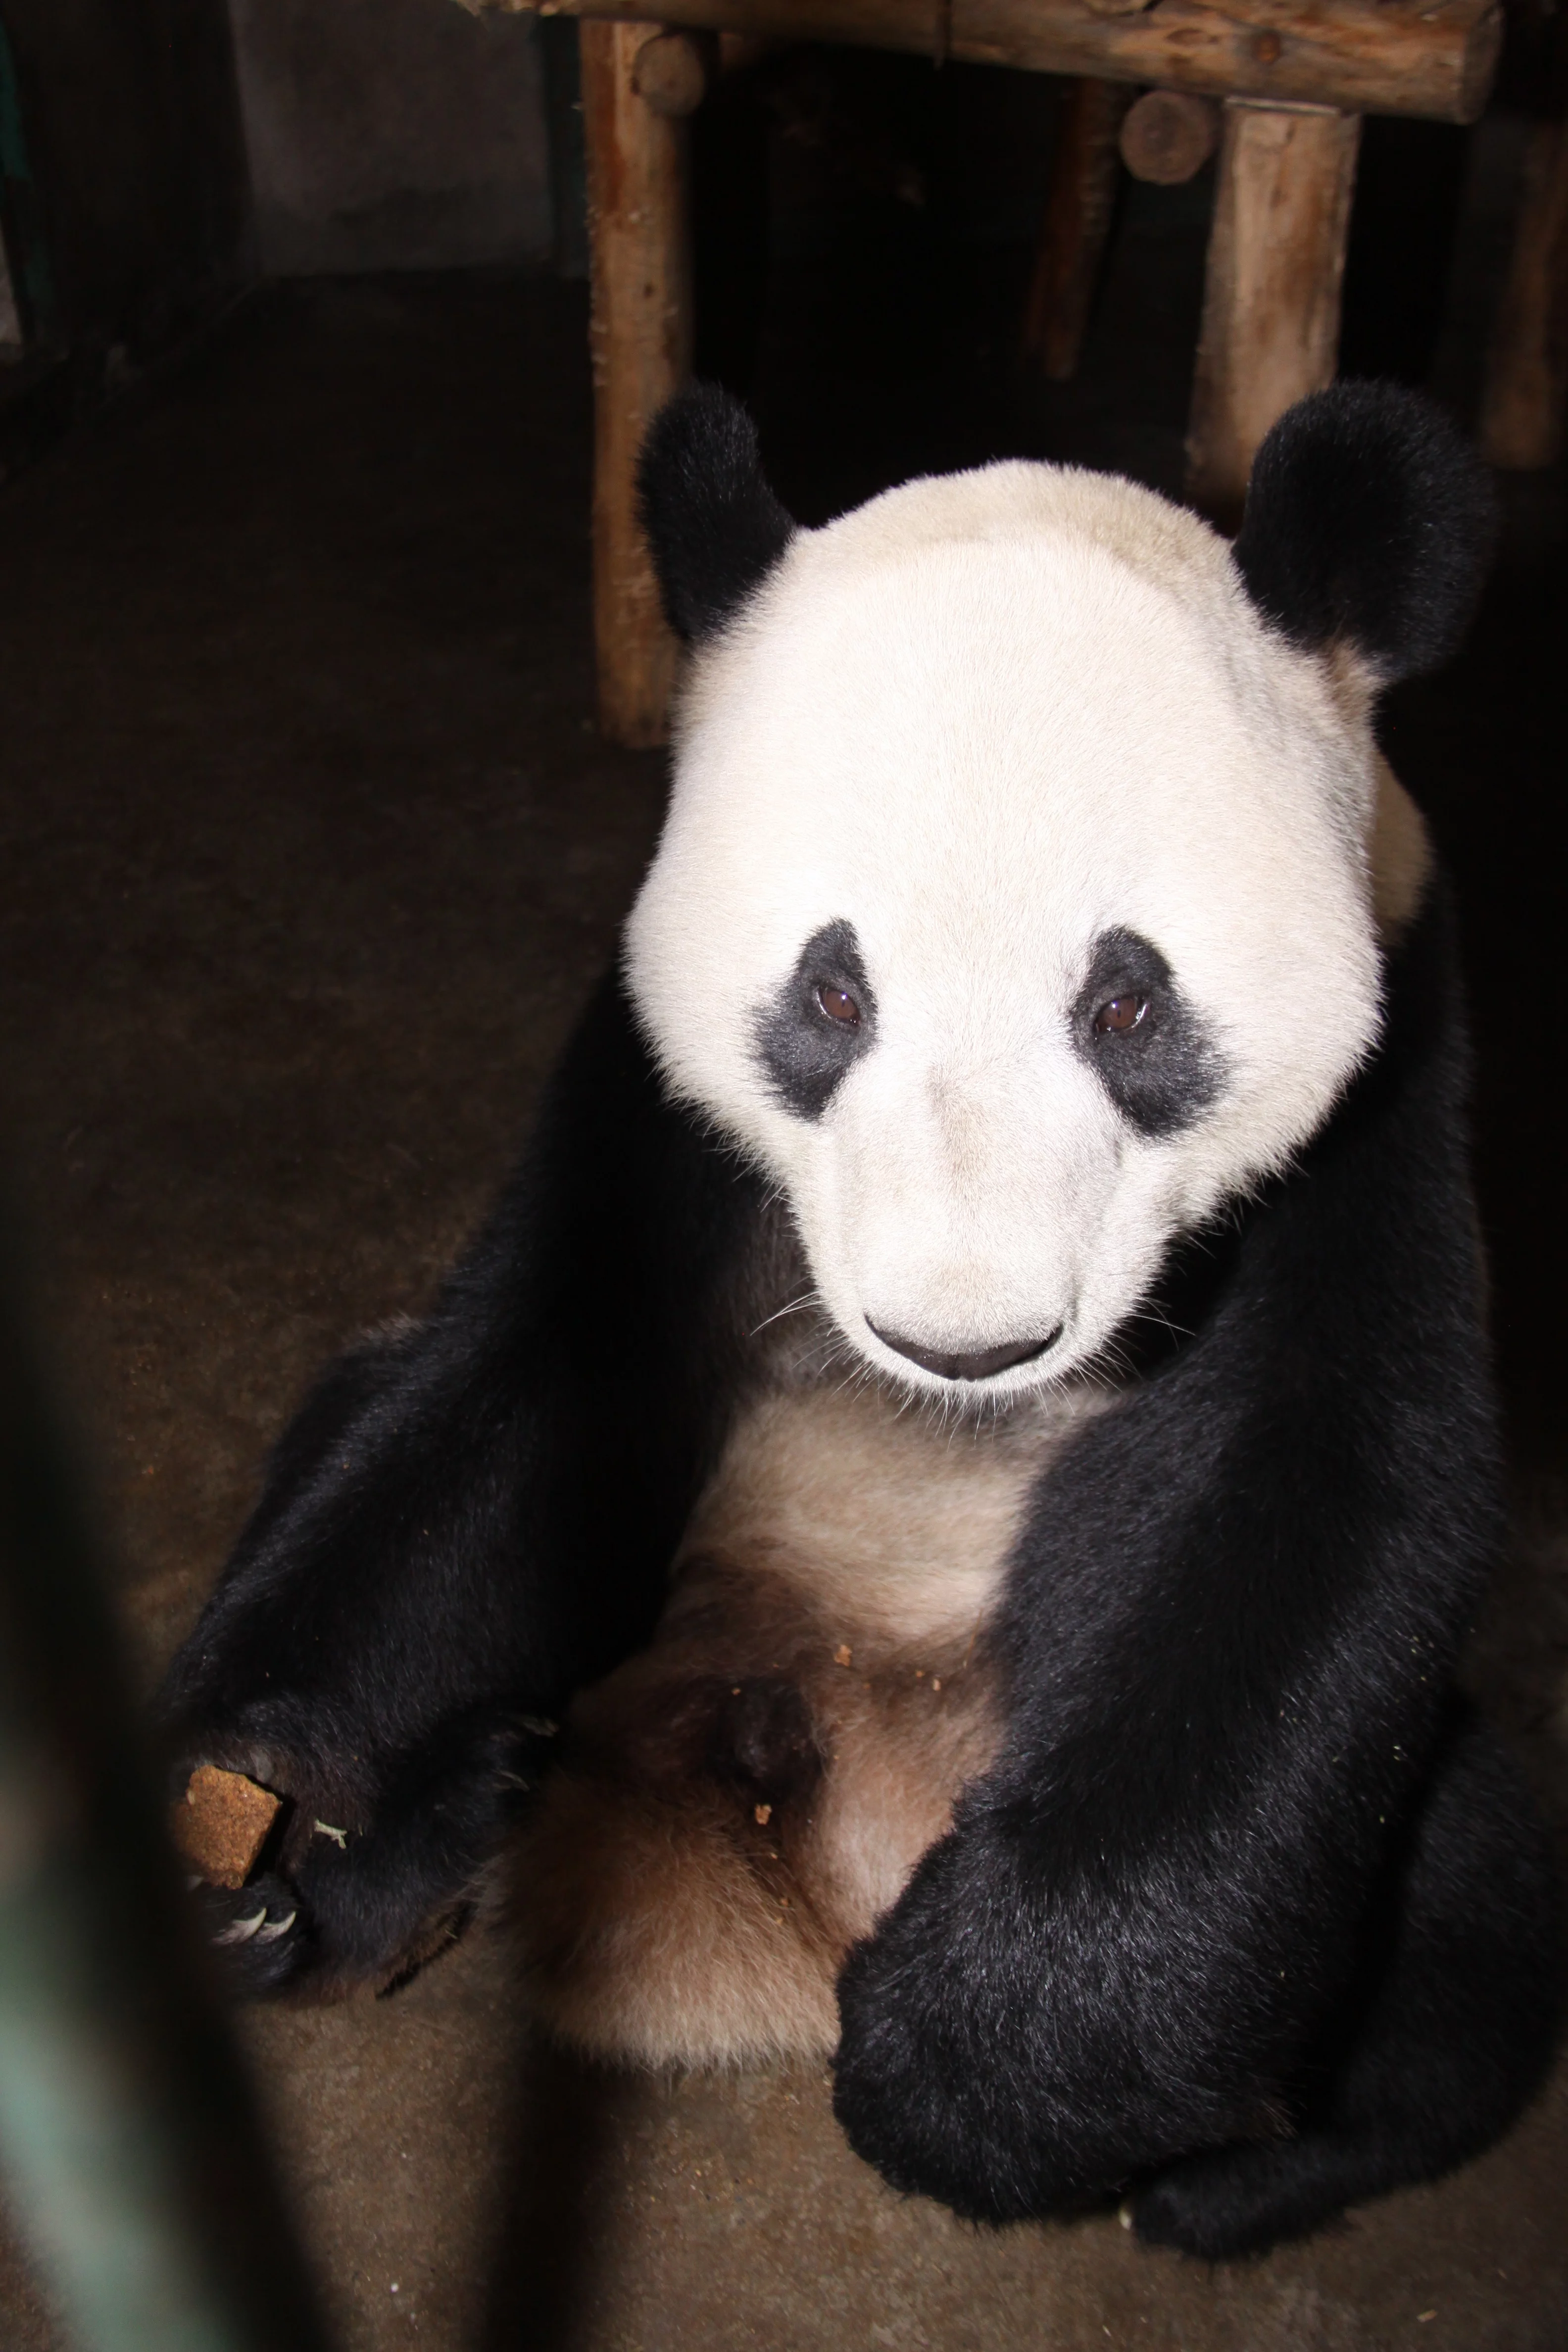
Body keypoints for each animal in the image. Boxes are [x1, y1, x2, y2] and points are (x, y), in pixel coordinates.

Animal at [162, 379, 1562, 2261]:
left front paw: (975, 2074)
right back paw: (380, 1864)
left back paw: (1234, 2177)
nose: (967, 1343)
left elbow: (1314, 1506)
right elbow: (523, 1383)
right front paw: (267, 1786)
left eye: (1125, 1005)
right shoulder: (649, 1090)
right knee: (360, 1400)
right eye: (832, 995)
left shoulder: (1398, 1057)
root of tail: (775, 1919)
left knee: (1467, 1898)